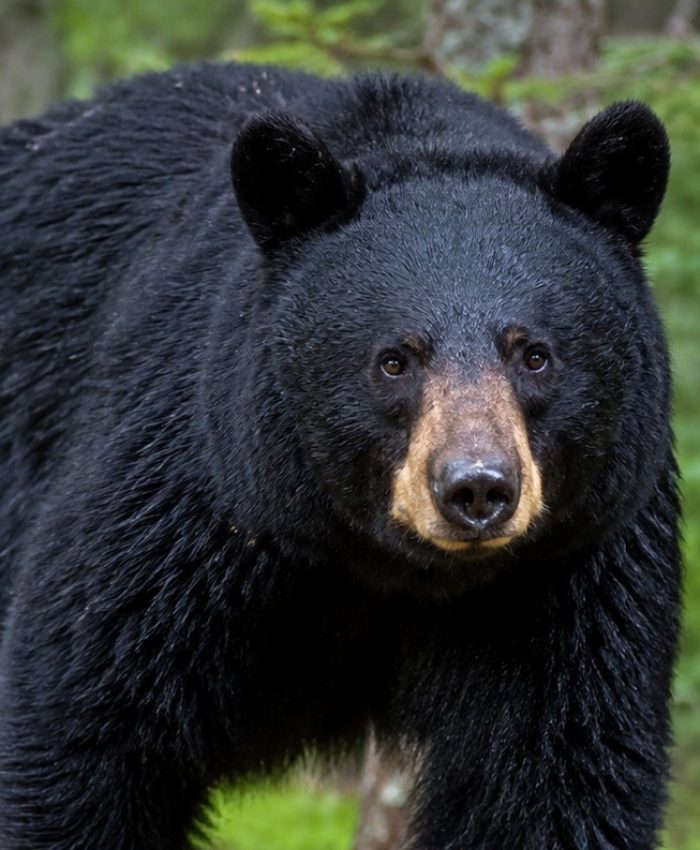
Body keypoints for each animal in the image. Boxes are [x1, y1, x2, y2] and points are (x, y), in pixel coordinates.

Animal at [0, 61, 680, 850]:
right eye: (394, 360)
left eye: (534, 354)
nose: (477, 489)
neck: (381, 565)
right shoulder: (182, 507)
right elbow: (85, 733)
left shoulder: (571, 570)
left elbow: (555, 776)